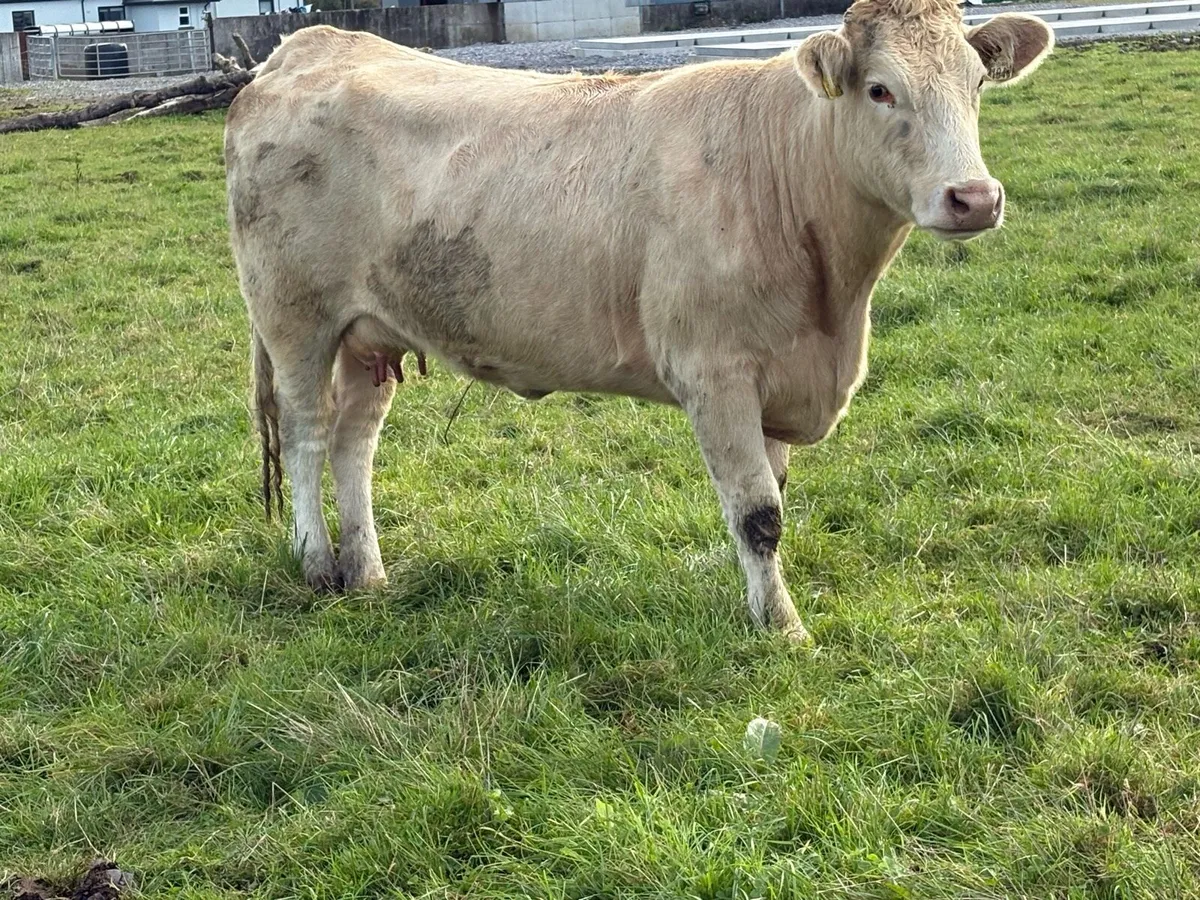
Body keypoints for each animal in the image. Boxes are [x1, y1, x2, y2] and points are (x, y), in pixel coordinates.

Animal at [225, 0, 1052, 641]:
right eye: (881, 90)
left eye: (978, 82)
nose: (974, 198)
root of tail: (306, 47)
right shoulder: (714, 371)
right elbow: (759, 515)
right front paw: (785, 631)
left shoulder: (780, 379)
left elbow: (773, 502)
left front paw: (766, 611)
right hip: (294, 317)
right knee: (305, 435)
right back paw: (316, 562)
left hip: (369, 332)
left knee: (353, 442)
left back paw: (366, 571)